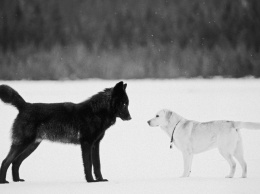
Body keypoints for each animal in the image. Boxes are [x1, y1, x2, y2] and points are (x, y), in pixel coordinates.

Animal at [0, 81, 131, 183]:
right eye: (124, 104)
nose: (130, 118)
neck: (96, 113)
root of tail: (25, 105)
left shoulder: (95, 144)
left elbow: (97, 165)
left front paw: (100, 180)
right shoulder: (86, 144)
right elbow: (88, 165)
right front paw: (90, 181)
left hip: (32, 146)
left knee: (15, 162)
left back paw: (17, 180)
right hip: (22, 144)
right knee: (6, 161)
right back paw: (4, 182)